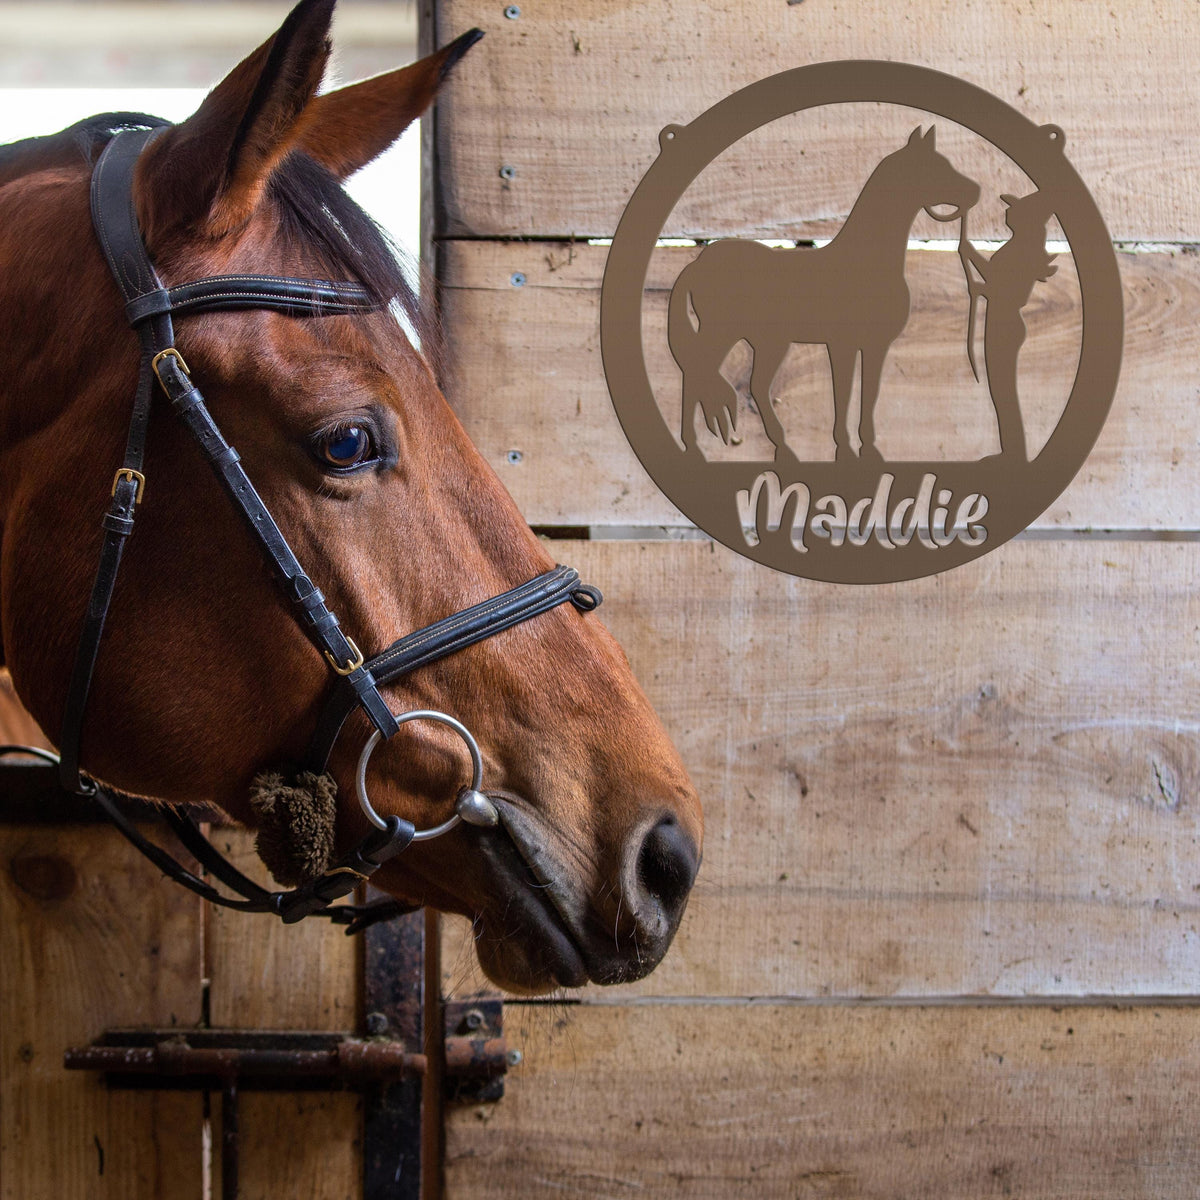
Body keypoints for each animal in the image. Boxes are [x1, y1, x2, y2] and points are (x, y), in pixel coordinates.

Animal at [669, 126, 980, 463]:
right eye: (939, 167)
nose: (975, 192)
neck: (865, 263)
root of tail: (696, 265)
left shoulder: (875, 346)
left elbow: (868, 393)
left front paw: (868, 450)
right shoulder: (842, 344)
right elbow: (843, 393)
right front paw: (845, 450)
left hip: (763, 341)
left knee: (746, 382)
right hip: (727, 334)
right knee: (700, 373)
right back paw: (698, 447)